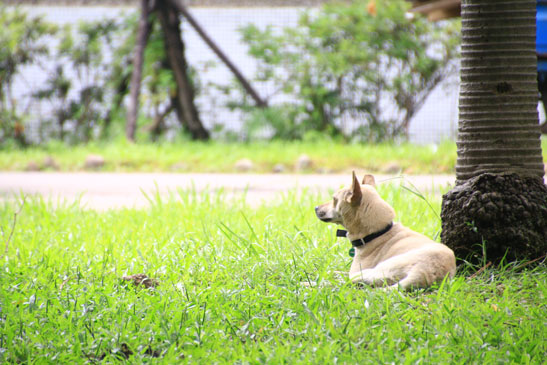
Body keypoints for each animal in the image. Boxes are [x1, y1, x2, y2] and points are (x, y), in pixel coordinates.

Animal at [314, 172, 456, 288]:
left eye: (334, 200)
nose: (315, 207)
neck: (378, 233)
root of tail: (423, 272)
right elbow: (335, 272)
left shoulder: (356, 270)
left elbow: (338, 276)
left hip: (372, 271)